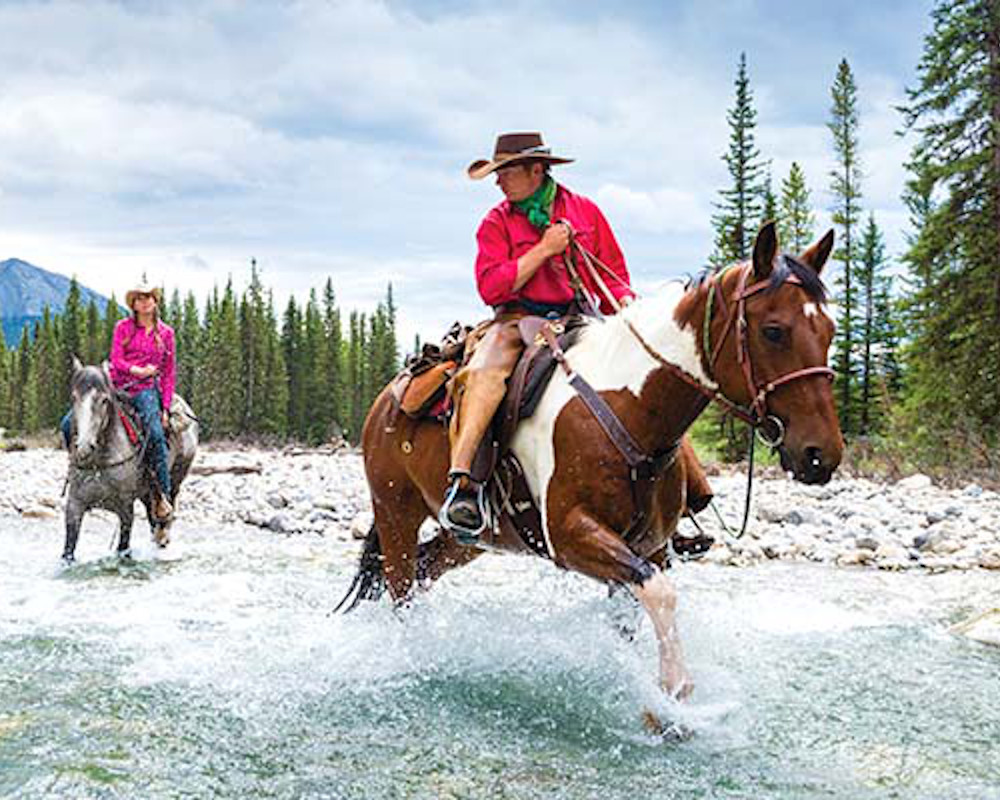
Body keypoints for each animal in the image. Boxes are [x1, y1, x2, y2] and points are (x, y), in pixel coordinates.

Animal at [63, 358, 199, 564]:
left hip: (176, 478)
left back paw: (164, 533)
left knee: (166, 510)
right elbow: (68, 551)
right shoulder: (74, 506)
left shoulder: (125, 509)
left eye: (104, 400)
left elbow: (123, 548)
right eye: (73, 397)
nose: (84, 447)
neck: (99, 463)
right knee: (153, 517)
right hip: (146, 493)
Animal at [344, 225, 844, 700]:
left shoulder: (648, 547)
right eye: (773, 330)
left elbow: (634, 611)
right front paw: (674, 692)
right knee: (401, 589)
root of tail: (388, 398)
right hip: (395, 514)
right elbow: (660, 594)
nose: (821, 454)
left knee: (424, 571)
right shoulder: (571, 536)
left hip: (469, 539)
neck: (628, 406)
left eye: (831, 331)